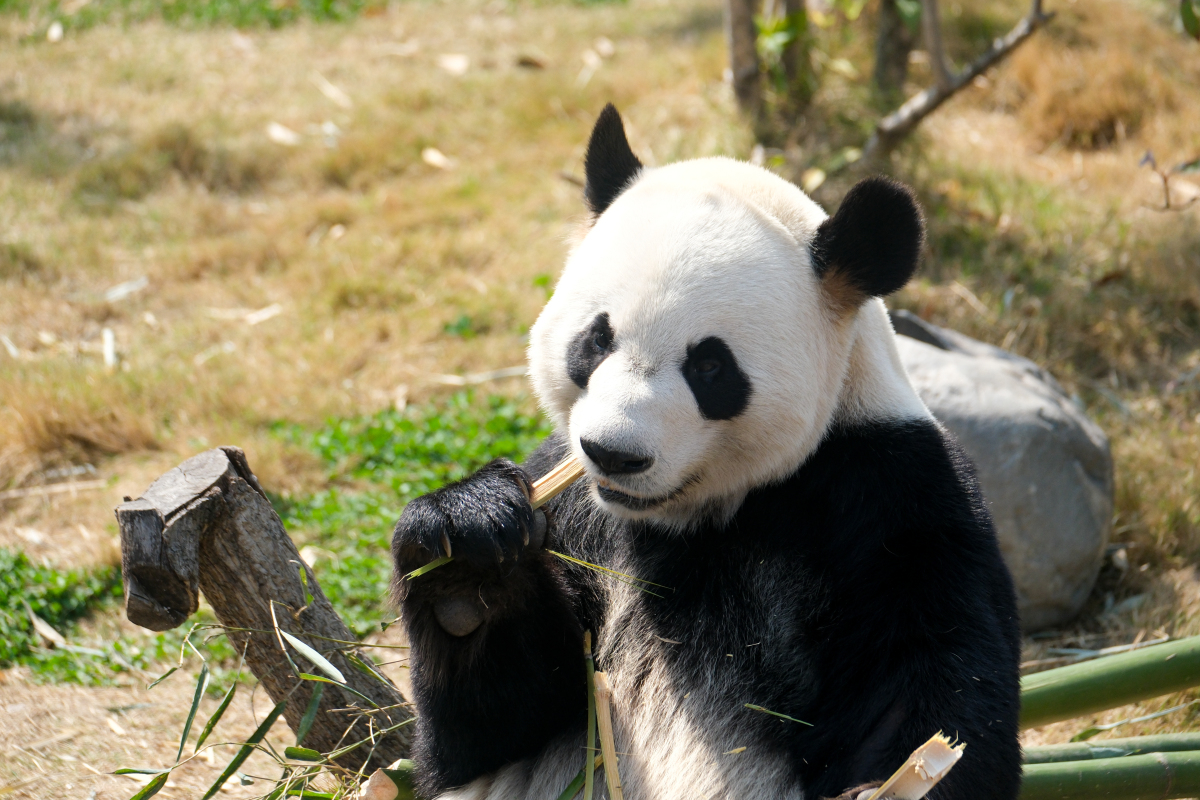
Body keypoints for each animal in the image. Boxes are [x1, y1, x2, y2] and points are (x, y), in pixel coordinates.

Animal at [393, 104, 1022, 800]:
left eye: (710, 366)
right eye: (596, 339)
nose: (613, 453)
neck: (693, 515)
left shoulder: (885, 494)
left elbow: (934, 685)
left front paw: (900, 778)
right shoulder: (577, 517)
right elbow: (492, 731)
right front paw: (467, 557)